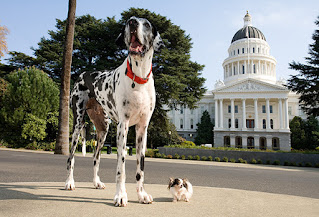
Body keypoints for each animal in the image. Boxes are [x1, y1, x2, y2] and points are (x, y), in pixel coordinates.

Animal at [65, 17, 165, 207]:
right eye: (128, 22)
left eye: (147, 24)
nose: (132, 22)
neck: (139, 77)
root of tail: (83, 73)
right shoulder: (122, 128)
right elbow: (121, 168)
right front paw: (120, 195)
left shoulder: (142, 129)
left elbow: (140, 168)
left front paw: (141, 194)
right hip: (77, 125)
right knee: (71, 157)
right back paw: (69, 182)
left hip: (103, 130)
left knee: (95, 157)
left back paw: (96, 182)